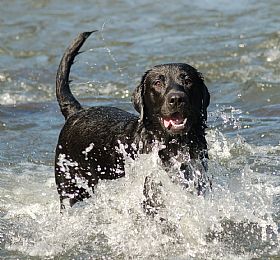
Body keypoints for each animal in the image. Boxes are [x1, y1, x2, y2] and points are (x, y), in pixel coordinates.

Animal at [54, 31, 210, 210]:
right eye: (157, 83)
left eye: (188, 80)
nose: (176, 98)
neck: (172, 143)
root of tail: (77, 112)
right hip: (69, 185)